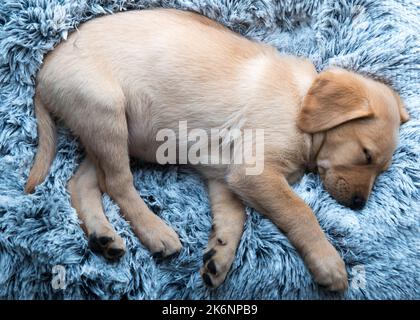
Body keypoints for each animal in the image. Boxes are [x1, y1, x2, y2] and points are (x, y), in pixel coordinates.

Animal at [24, 8, 408, 292]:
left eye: (381, 168)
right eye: (366, 154)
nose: (359, 205)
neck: (300, 104)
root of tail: (43, 72)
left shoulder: (225, 177)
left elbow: (233, 218)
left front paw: (219, 257)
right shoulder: (255, 174)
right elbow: (300, 212)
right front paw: (329, 263)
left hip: (108, 131)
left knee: (83, 183)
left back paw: (105, 237)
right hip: (106, 113)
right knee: (118, 184)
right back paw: (155, 232)